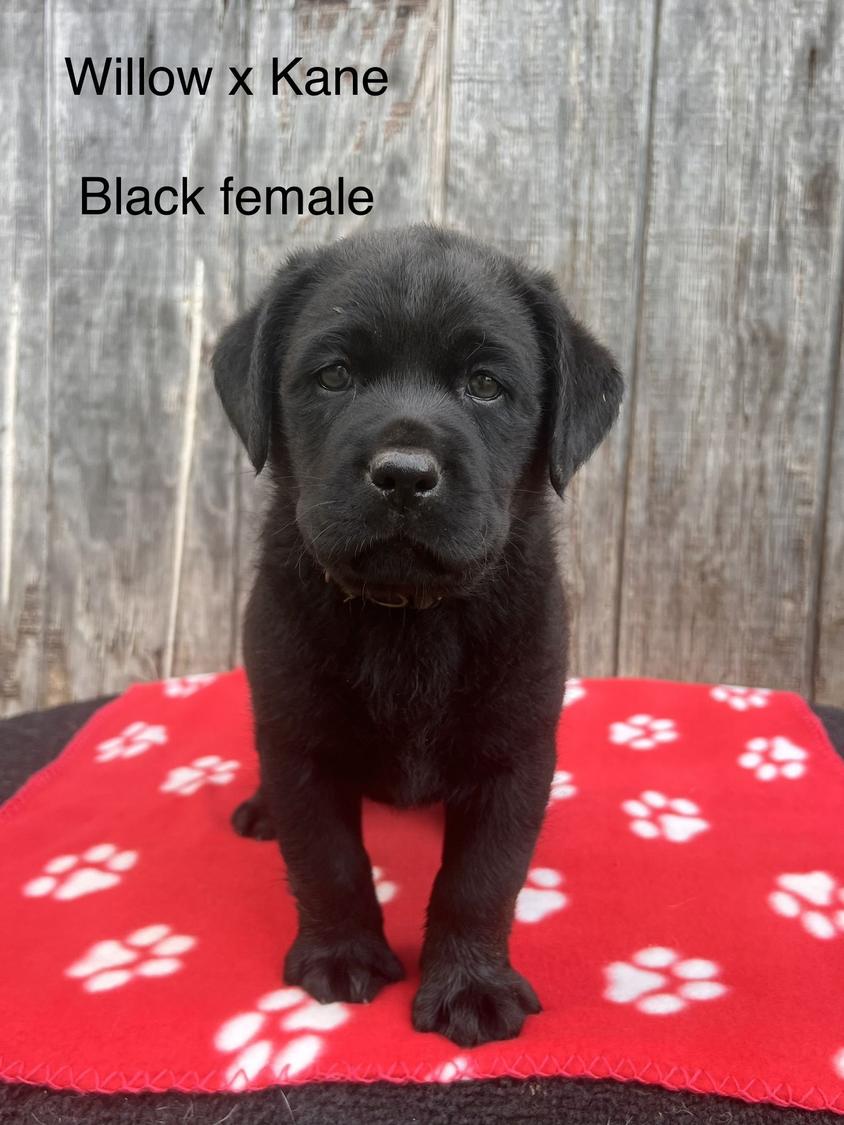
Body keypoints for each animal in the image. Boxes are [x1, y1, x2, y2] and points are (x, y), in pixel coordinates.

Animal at [212, 223, 621, 1048]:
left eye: (486, 385)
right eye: (335, 375)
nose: (403, 473)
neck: (408, 614)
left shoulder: (514, 752)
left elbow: (481, 879)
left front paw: (470, 984)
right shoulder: (299, 741)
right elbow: (328, 858)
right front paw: (341, 955)